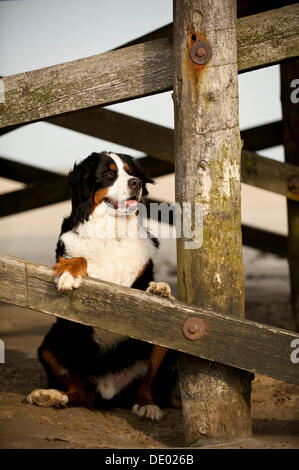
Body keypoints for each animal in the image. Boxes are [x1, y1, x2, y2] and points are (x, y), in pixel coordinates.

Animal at [27, 152, 179, 420]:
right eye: (109, 174)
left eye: (132, 173)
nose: (136, 183)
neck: (112, 233)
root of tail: (109, 390)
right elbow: (81, 257)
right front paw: (69, 273)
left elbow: (146, 290)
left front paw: (160, 288)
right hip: (51, 343)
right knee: (79, 393)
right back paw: (50, 396)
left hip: (163, 342)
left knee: (146, 387)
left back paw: (147, 406)